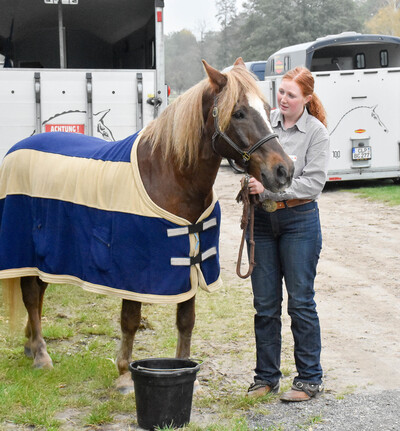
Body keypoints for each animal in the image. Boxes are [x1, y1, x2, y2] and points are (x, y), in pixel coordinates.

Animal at [0, 58, 294, 394]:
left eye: (268, 107)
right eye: (239, 112)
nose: (284, 170)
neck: (169, 175)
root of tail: (18, 147)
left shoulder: (190, 263)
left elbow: (186, 320)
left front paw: (186, 371)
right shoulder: (133, 271)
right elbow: (130, 319)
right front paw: (125, 375)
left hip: (45, 257)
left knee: (38, 293)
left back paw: (29, 345)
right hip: (25, 249)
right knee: (31, 296)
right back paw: (40, 355)